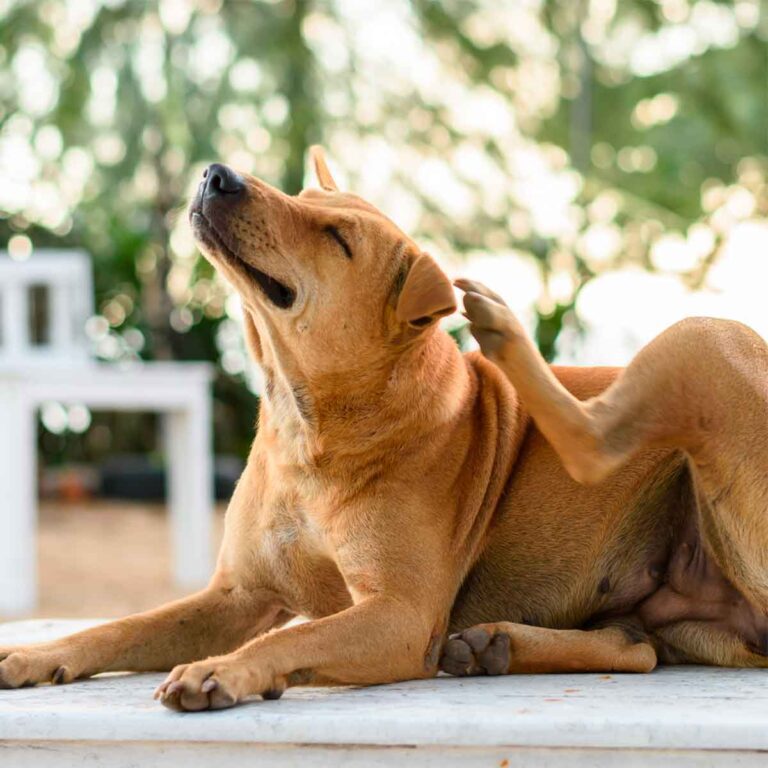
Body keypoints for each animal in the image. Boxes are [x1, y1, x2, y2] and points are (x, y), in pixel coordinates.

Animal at [1, 147, 768, 712]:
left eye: (336, 238)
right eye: (302, 201)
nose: (217, 174)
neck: (307, 425)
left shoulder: (397, 614)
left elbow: (290, 641)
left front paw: (229, 670)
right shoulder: (237, 596)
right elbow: (120, 627)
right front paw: (37, 654)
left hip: (708, 337)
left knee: (598, 444)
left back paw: (501, 326)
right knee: (638, 647)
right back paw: (496, 646)